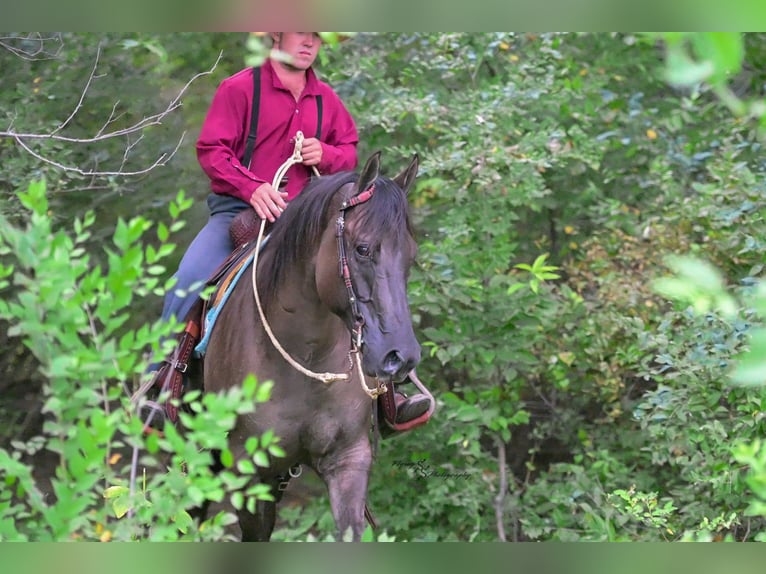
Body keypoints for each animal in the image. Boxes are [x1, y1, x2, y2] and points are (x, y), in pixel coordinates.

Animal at [192, 152, 421, 541]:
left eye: (410, 257)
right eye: (362, 249)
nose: (401, 357)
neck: (304, 351)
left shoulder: (347, 460)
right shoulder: (245, 471)